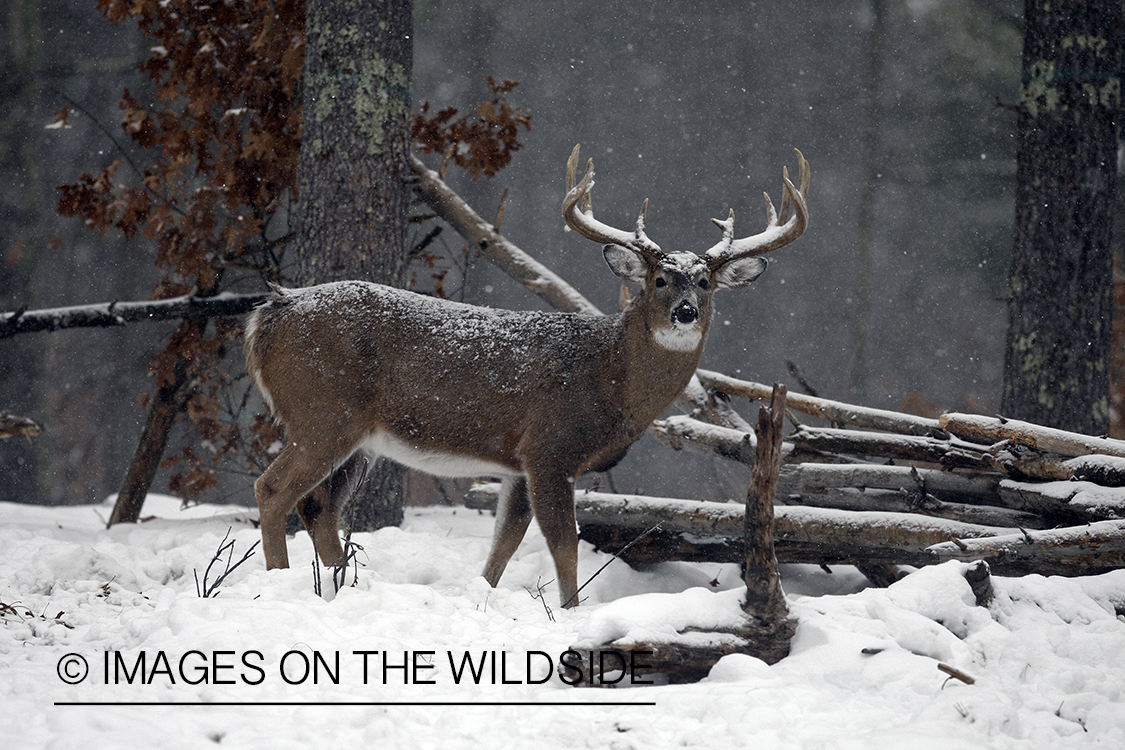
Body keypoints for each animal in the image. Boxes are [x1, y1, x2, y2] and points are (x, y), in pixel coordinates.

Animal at [246, 143, 810, 607]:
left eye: (706, 282)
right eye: (659, 279)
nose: (686, 312)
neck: (610, 380)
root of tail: (269, 315)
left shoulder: (519, 462)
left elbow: (505, 543)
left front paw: (483, 597)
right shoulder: (550, 447)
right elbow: (564, 545)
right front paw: (570, 612)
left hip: (356, 438)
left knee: (320, 509)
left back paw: (343, 586)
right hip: (322, 413)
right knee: (274, 490)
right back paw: (278, 582)